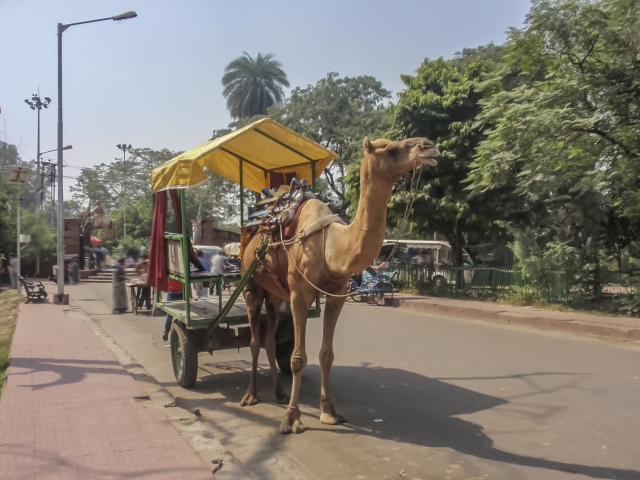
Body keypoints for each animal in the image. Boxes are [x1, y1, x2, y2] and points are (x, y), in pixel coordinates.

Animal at [240, 136, 440, 436]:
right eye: (392, 149)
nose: (429, 146)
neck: (330, 246)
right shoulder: (299, 294)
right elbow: (298, 358)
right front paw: (292, 419)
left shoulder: (337, 296)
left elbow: (327, 355)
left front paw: (329, 412)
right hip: (250, 284)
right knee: (254, 340)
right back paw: (251, 395)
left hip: (275, 294)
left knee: (270, 339)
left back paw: (278, 393)